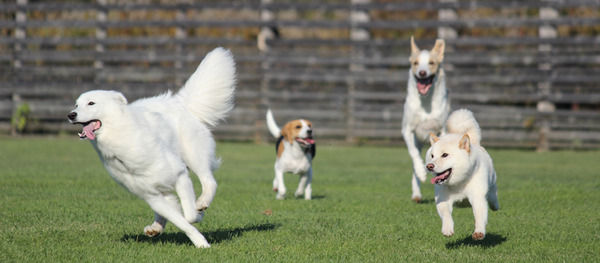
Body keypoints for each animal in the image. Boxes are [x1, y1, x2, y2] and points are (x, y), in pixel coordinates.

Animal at [65, 48, 234, 250]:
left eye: (91, 103)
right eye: (76, 104)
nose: (71, 115)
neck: (120, 141)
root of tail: (179, 102)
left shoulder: (180, 175)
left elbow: (189, 215)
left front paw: (199, 218)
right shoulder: (152, 197)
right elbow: (182, 221)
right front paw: (200, 241)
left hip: (193, 157)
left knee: (209, 181)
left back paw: (201, 203)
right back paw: (156, 227)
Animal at [400, 36, 448, 203]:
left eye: (431, 63)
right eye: (415, 63)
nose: (422, 73)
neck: (426, 101)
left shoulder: (442, 130)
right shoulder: (407, 130)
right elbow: (414, 154)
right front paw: (421, 172)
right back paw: (417, 194)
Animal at [424, 109, 500, 241]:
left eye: (445, 155)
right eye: (432, 156)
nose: (429, 166)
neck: (458, 184)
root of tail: (473, 142)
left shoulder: (477, 198)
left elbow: (479, 216)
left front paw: (479, 232)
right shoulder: (443, 199)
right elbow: (446, 215)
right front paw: (447, 229)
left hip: (491, 188)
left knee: (493, 197)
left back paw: (495, 205)